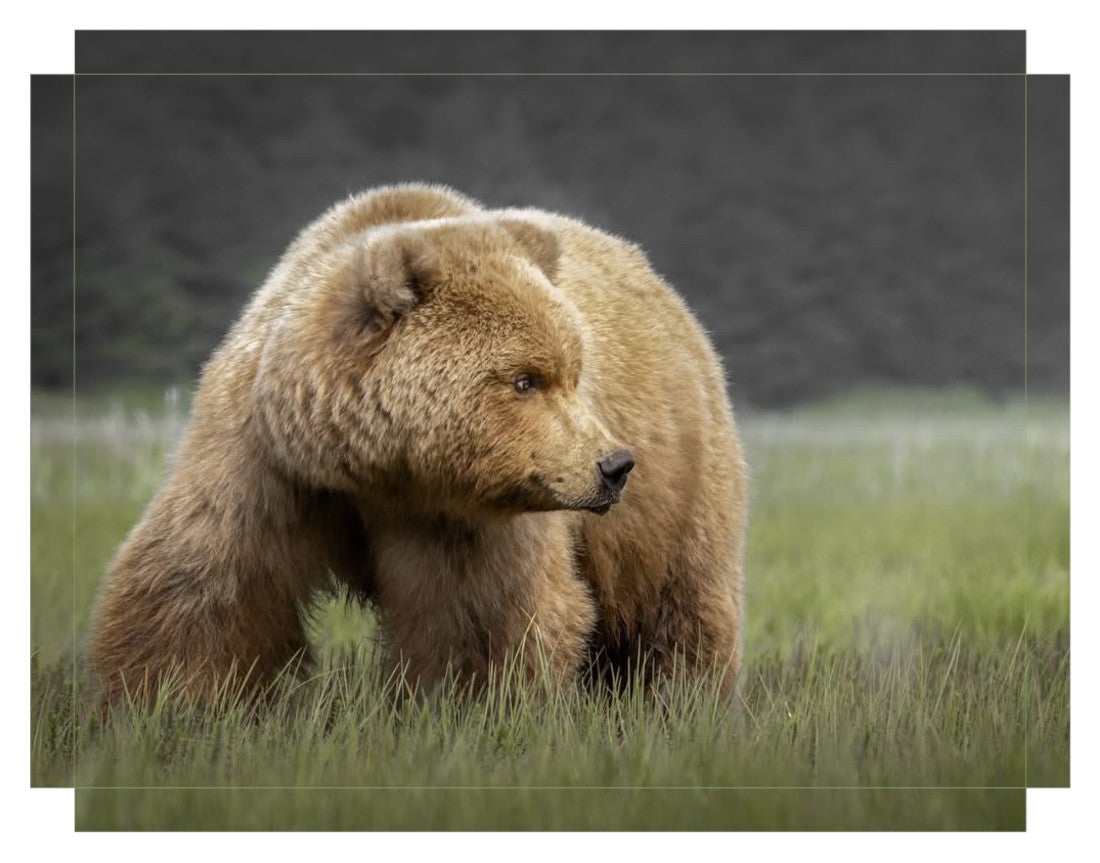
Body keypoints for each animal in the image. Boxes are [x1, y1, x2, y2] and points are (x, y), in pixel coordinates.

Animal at [87, 184, 747, 705]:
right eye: (525, 380)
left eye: (573, 374)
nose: (613, 464)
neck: (372, 467)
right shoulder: (266, 459)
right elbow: (203, 586)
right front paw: (164, 706)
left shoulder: (463, 516)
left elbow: (482, 618)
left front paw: (472, 710)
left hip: (681, 483)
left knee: (678, 605)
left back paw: (683, 701)